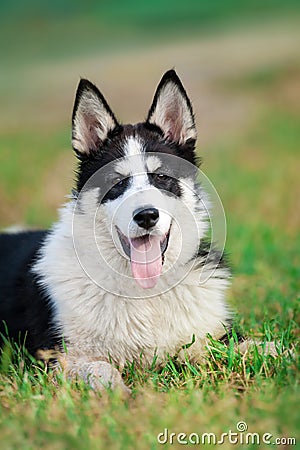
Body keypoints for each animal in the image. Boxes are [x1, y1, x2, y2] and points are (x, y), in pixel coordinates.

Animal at [0, 70, 234, 390]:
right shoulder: (60, 360)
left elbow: (258, 347)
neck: (146, 293)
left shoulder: (213, 336)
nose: (146, 216)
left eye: (162, 176)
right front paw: (120, 394)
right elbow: (102, 370)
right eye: (116, 181)